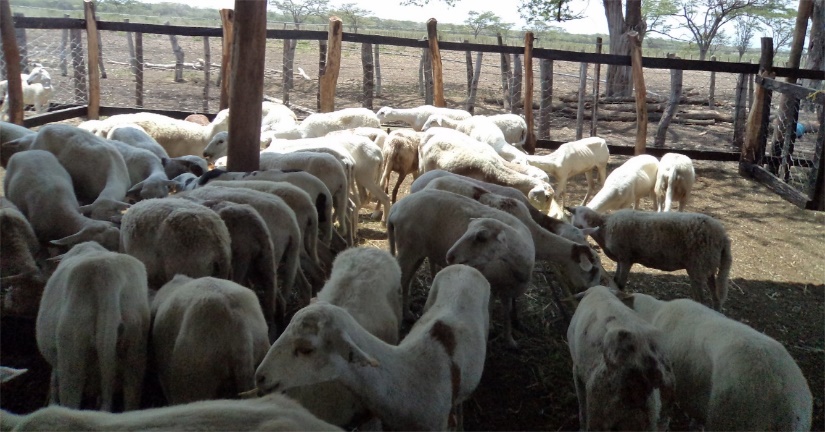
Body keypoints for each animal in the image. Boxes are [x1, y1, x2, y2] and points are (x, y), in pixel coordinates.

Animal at [388, 189, 601, 346]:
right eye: (593, 270)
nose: (588, 291)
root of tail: (396, 208)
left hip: (417, 250)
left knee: (407, 280)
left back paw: (408, 313)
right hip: (408, 247)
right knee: (401, 279)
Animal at [568, 206, 733, 310]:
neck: (604, 226)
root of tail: (723, 237)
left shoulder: (626, 258)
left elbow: (620, 283)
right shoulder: (621, 259)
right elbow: (615, 280)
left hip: (697, 265)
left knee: (701, 299)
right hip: (708, 264)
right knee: (716, 296)